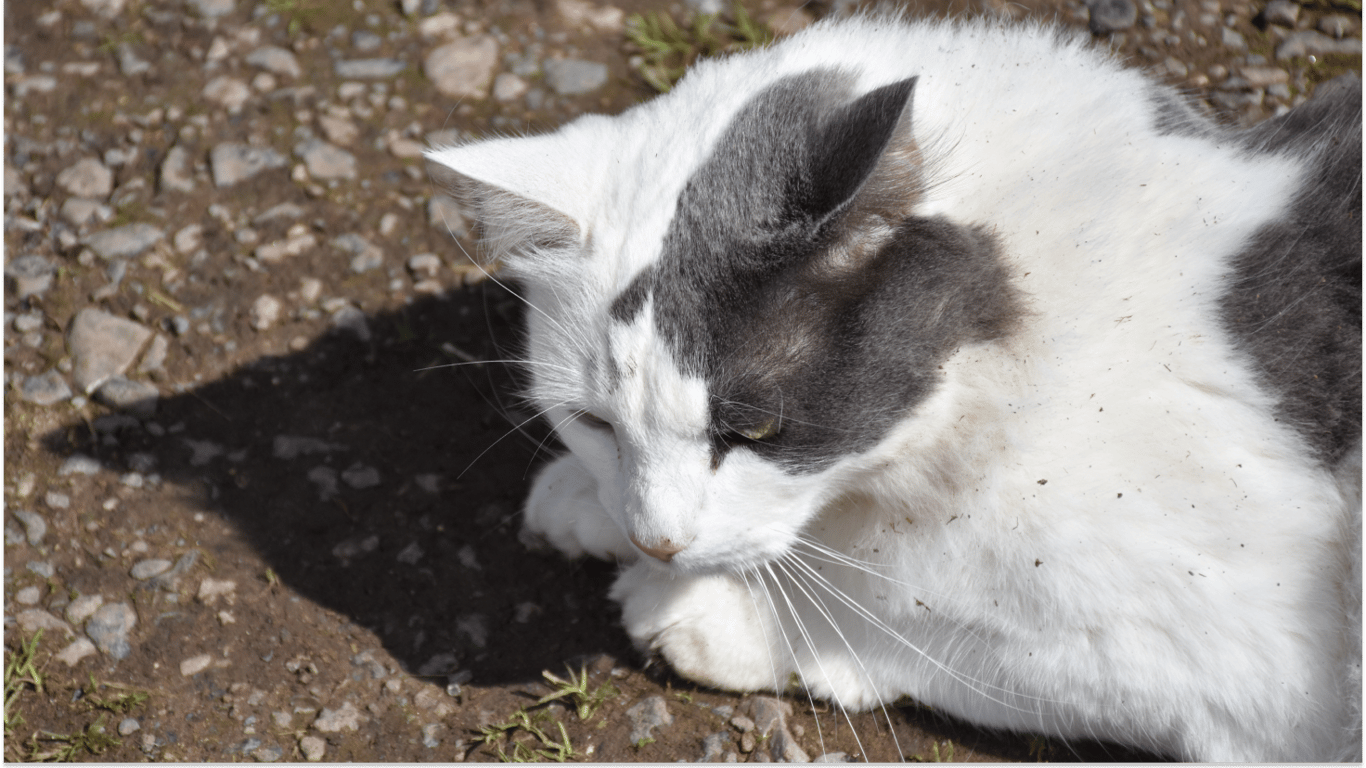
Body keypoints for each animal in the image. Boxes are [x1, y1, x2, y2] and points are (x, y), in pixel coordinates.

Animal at [423, 13, 1355, 759]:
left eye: (753, 431)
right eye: (593, 423)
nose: (656, 542)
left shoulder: (1248, 664)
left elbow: (909, 608)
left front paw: (711, 614)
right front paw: (588, 500)